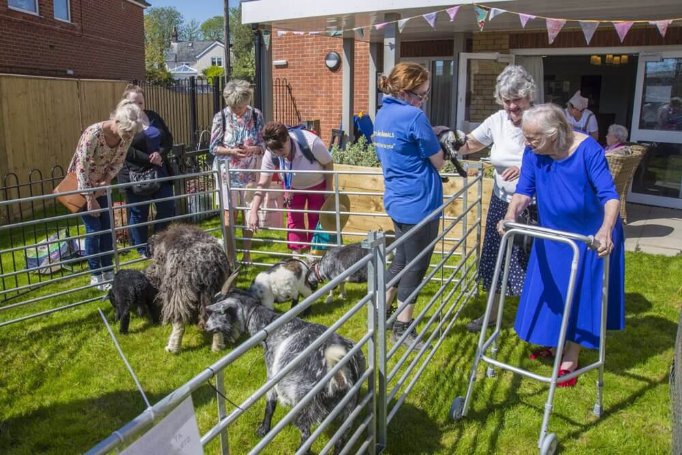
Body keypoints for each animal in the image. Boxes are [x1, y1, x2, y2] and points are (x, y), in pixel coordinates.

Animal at [206, 286, 366, 454]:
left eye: (215, 311)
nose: (206, 326)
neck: (270, 324)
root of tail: (342, 367)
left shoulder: (272, 373)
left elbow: (270, 404)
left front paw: (263, 430)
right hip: (348, 408)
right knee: (340, 440)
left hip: (304, 406)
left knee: (306, 437)